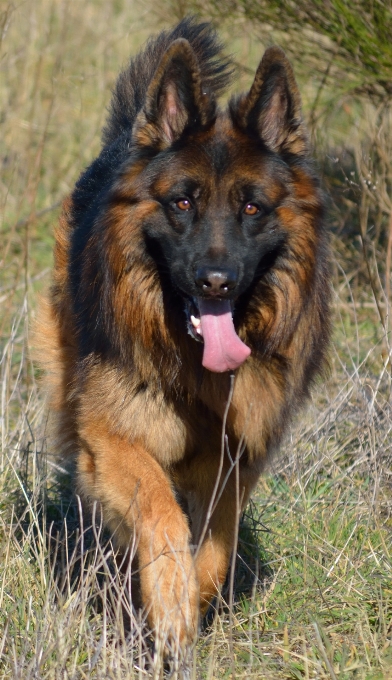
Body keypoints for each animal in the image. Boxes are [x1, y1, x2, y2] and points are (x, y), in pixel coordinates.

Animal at [36, 18, 330, 660]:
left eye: (252, 207)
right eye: (183, 202)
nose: (214, 281)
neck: (195, 368)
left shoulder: (234, 457)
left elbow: (217, 544)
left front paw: (191, 599)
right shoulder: (113, 436)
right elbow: (159, 509)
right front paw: (170, 609)